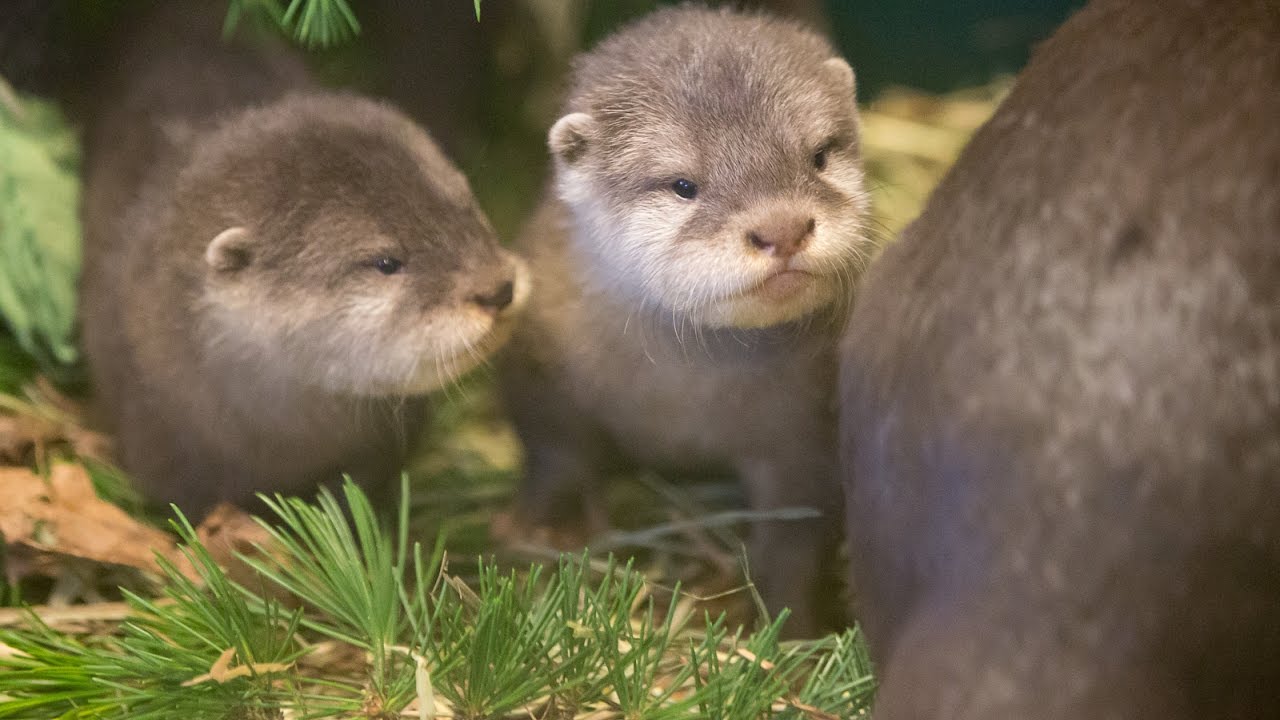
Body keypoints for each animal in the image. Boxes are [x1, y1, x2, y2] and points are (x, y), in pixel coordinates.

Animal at [499, 5, 871, 637]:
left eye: (819, 154)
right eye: (682, 185)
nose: (784, 227)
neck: (682, 401)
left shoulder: (806, 432)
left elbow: (796, 531)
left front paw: (792, 624)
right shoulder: (538, 354)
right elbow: (555, 448)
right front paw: (549, 525)